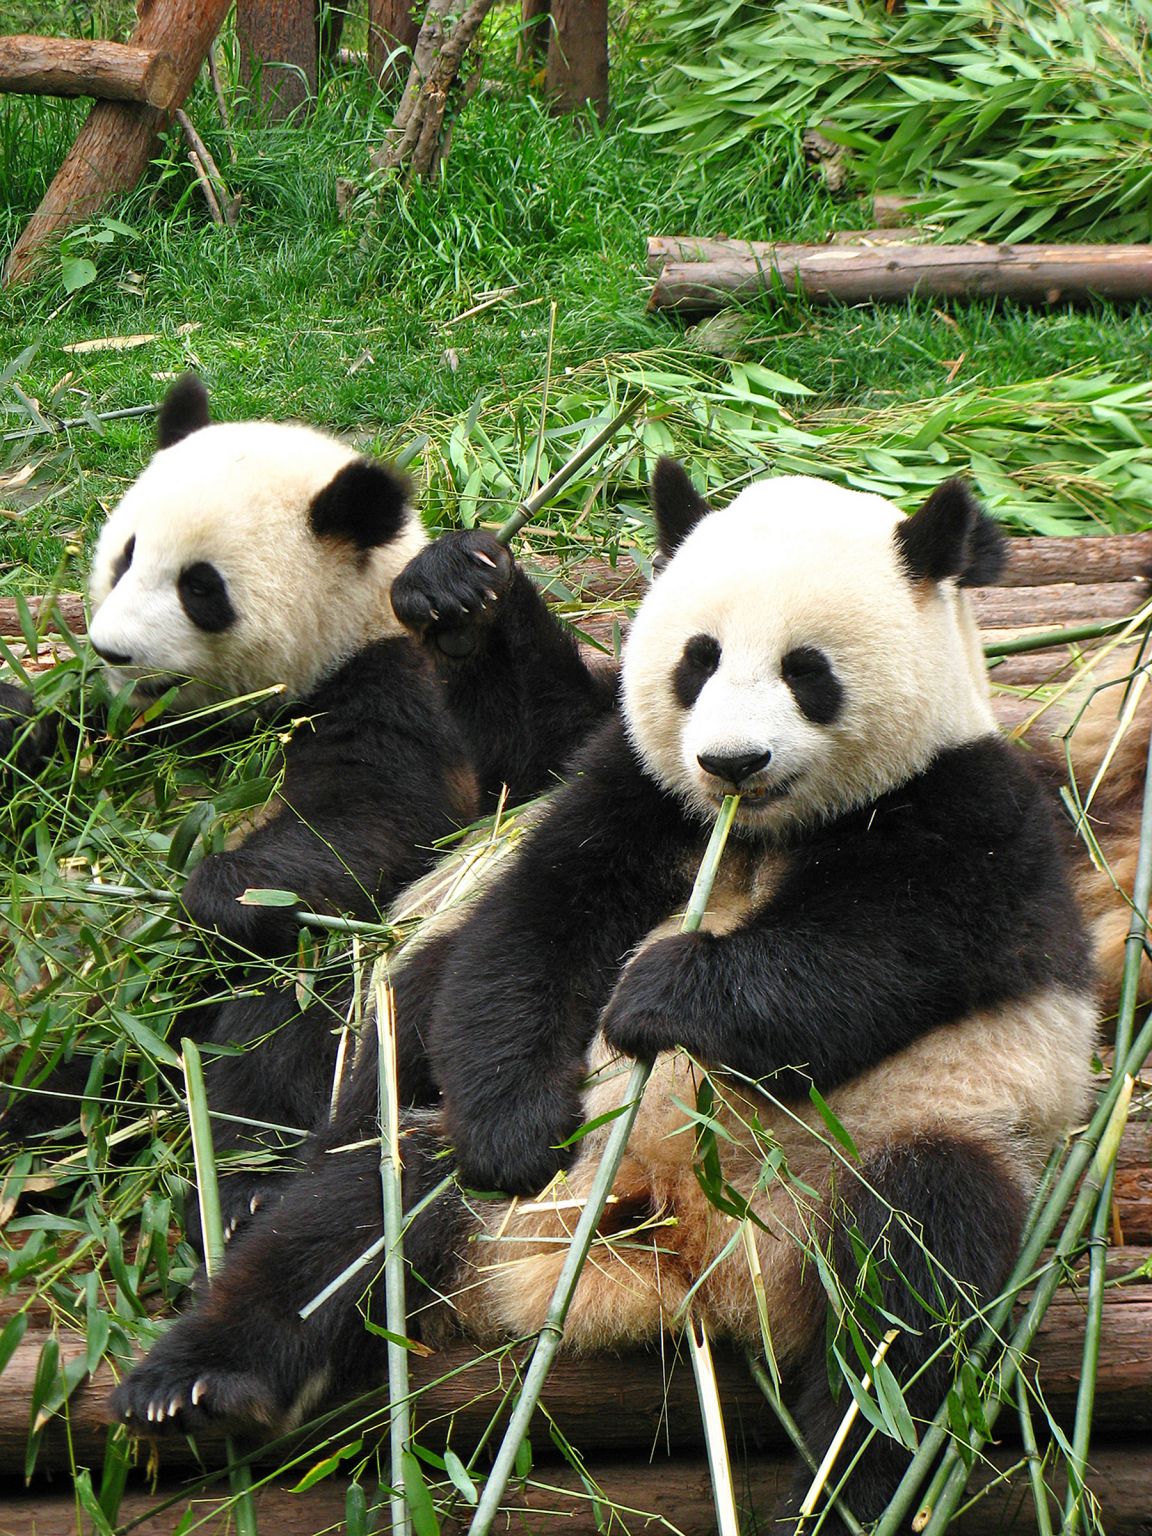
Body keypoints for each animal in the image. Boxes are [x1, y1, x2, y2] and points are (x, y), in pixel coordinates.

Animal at [109, 463, 1097, 1527]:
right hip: (498, 1189)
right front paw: (461, 593)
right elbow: (534, 915)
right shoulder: (629, 790)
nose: (732, 762)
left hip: (900, 1148)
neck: (758, 832)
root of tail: (679, 1260)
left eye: (807, 671)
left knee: (912, 1282)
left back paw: (845, 1488)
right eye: (697, 662)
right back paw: (197, 1387)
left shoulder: (985, 818)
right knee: (355, 1213)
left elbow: (875, 951)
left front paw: (661, 997)